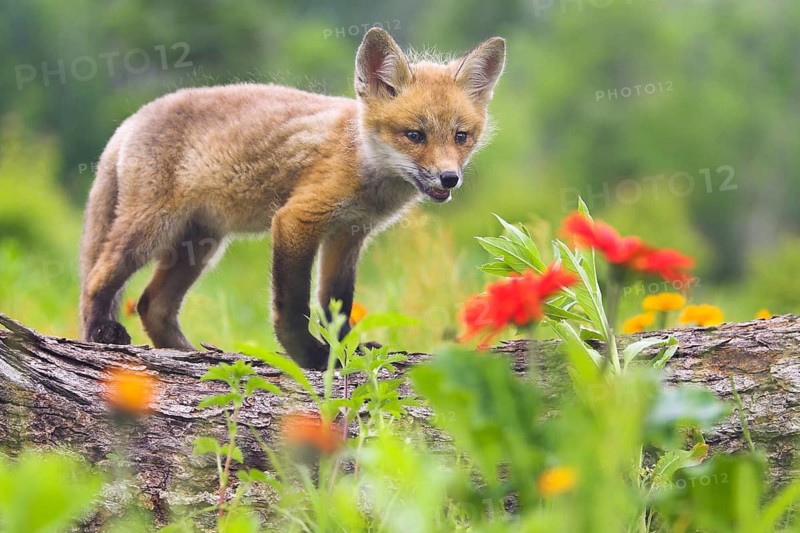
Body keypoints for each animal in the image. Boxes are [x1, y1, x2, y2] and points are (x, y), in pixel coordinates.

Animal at [79, 28, 506, 369]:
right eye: (415, 135)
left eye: (461, 136)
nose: (449, 178)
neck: (362, 162)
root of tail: (131, 120)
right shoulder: (297, 218)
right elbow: (293, 304)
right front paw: (310, 356)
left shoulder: (348, 235)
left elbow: (337, 304)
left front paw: (348, 351)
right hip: (154, 229)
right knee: (97, 278)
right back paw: (102, 331)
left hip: (200, 245)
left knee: (153, 305)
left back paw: (192, 354)